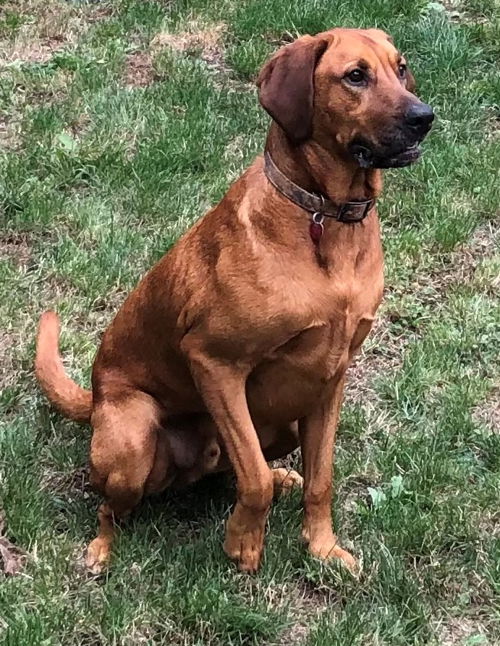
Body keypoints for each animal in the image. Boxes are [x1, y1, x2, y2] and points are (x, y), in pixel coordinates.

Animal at [35, 27, 434, 576]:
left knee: (236, 468)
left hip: (285, 421)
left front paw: (322, 548)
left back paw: (283, 478)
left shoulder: (330, 378)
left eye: (401, 68)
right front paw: (244, 543)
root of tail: (93, 401)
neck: (325, 219)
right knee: (111, 506)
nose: (424, 117)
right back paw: (102, 549)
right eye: (356, 76)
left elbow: (321, 478)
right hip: (132, 437)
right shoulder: (215, 363)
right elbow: (254, 480)